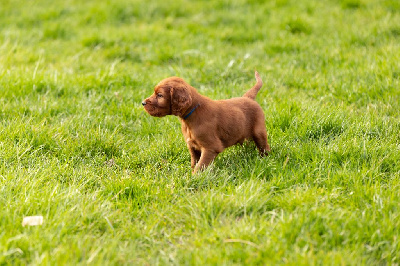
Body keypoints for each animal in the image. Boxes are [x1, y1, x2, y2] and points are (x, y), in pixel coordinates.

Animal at [142, 71, 270, 172]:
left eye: (160, 95)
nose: (143, 103)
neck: (192, 113)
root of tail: (248, 97)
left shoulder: (211, 147)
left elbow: (200, 166)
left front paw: (193, 178)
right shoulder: (192, 146)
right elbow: (194, 162)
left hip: (259, 131)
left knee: (264, 146)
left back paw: (265, 159)